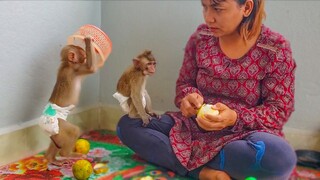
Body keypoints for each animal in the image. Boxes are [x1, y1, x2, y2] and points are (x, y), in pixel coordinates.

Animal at [39, 36, 99, 165]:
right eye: (82, 54)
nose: (84, 55)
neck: (67, 64)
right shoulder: (77, 68)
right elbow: (91, 68)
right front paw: (88, 40)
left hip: (55, 131)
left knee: (56, 141)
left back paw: (51, 158)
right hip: (58, 124)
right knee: (73, 131)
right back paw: (67, 154)